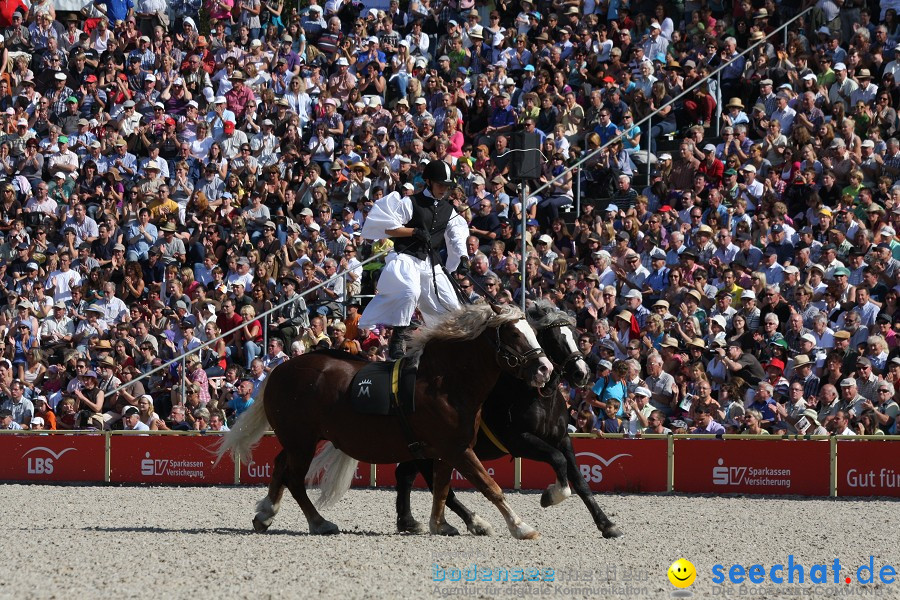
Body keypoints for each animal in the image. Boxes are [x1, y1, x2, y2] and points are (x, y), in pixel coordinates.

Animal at [218, 304, 556, 540]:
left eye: (533, 332)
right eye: (514, 334)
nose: (545, 368)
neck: (444, 382)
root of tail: (281, 370)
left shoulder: (448, 451)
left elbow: (442, 489)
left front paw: (440, 524)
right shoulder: (458, 449)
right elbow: (490, 487)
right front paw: (521, 527)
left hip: (297, 439)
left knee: (279, 466)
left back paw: (266, 513)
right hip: (301, 441)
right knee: (294, 478)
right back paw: (318, 522)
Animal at [398, 300, 624, 540]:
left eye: (576, 335)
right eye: (555, 339)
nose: (582, 373)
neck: (537, 396)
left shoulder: (562, 439)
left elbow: (579, 481)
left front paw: (606, 524)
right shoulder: (518, 440)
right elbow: (558, 460)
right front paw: (550, 495)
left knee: (407, 475)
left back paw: (408, 520)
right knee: (434, 486)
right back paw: (472, 522)